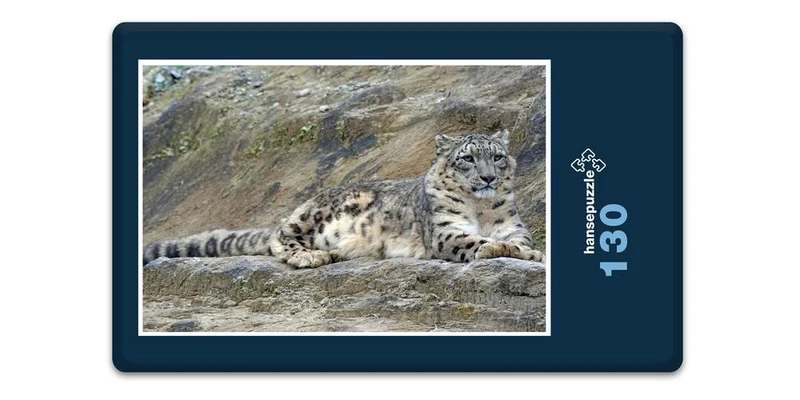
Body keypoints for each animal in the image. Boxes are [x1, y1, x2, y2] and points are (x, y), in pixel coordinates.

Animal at [143, 129, 545, 268]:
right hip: (314, 214)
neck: (481, 209)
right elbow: (473, 241)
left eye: (496, 156)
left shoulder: (513, 225)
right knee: (280, 237)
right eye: (468, 158)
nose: (488, 177)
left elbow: (519, 241)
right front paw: (496, 249)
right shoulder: (445, 231)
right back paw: (313, 256)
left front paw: (526, 252)